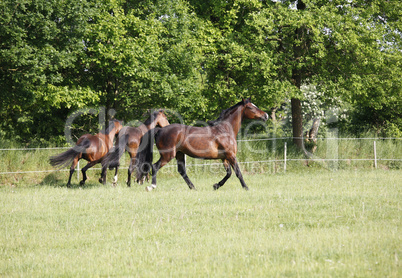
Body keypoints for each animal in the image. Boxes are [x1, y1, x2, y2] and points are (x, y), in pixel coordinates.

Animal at [134, 97, 266, 191]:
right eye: (252, 108)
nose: (266, 115)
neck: (225, 130)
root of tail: (159, 130)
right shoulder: (231, 155)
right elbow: (238, 172)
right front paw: (246, 187)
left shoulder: (224, 157)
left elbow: (228, 173)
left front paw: (216, 185)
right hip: (168, 155)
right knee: (155, 166)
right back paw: (151, 186)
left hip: (180, 154)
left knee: (182, 171)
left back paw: (193, 187)